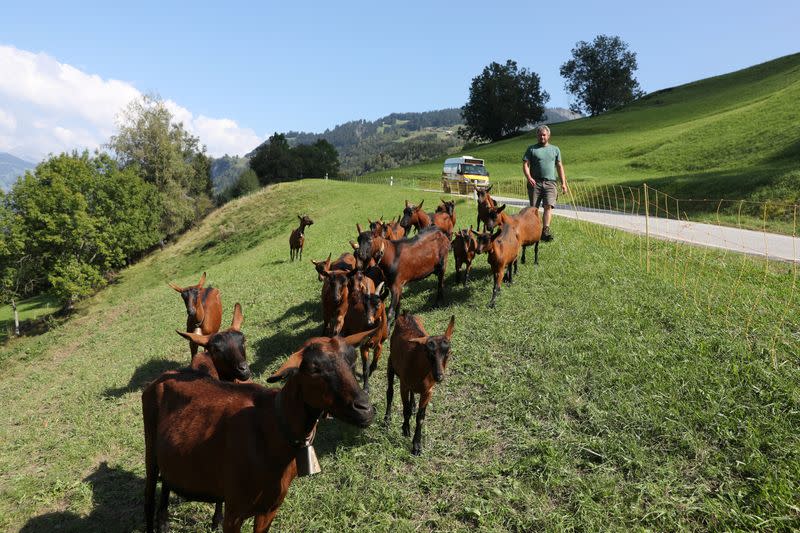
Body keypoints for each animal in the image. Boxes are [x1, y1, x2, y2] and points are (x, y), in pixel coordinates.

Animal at [142, 328, 380, 532]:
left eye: (353, 361)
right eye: (313, 369)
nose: (365, 409)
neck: (272, 430)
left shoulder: (270, 508)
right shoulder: (235, 511)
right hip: (150, 448)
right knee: (149, 496)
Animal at [388, 312, 456, 454]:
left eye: (448, 352)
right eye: (428, 353)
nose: (439, 376)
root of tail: (405, 314)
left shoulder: (428, 392)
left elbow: (421, 417)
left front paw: (417, 445)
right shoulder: (403, 386)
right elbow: (405, 409)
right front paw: (405, 429)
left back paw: (414, 405)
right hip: (390, 363)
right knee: (390, 391)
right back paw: (387, 419)